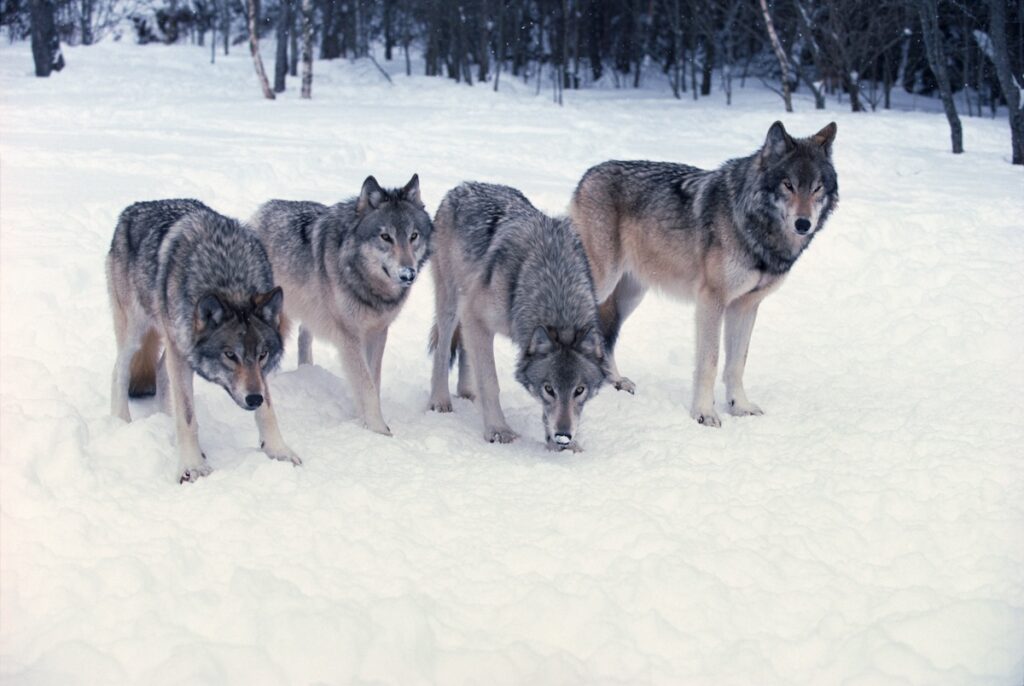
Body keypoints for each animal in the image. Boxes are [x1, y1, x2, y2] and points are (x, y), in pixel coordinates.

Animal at [107, 199, 300, 483]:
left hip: (174, 341)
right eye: (230, 355)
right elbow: (187, 417)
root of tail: (132, 209)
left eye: (262, 354)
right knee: (119, 371)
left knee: (161, 372)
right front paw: (192, 466)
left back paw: (166, 420)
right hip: (137, 332)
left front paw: (279, 451)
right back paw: (121, 422)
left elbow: (268, 411)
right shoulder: (180, 349)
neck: (229, 279)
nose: (253, 399)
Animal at [250, 175, 431, 436]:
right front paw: (379, 430)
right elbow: (366, 385)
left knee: (304, 337)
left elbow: (373, 381)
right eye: (386, 237)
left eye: (413, 236)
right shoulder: (350, 336)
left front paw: (365, 422)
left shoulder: (378, 332)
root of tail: (259, 213)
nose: (408, 274)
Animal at [428, 182, 610, 452]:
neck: (554, 279)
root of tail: (462, 186)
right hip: (451, 303)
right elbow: (490, 382)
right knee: (442, 350)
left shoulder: (478, 321)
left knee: (465, 352)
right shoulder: (474, 314)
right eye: (549, 389)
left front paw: (559, 445)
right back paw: (440, 401)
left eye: (579, 390)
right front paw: (498, 431)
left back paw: (468, 393)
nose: (563, 436)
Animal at [570, 121, 839, 427]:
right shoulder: (711, 300)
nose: (803, 223)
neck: (751, 225)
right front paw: (704, 413)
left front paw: (739, 406)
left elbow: (736, 364)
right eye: (788, 185)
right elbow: (709, 362)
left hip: (631, 294)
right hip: (603, 281)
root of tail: (587, 175)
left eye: (817, 188)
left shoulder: (745, 306)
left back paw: (615, 380)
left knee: (605, 333)